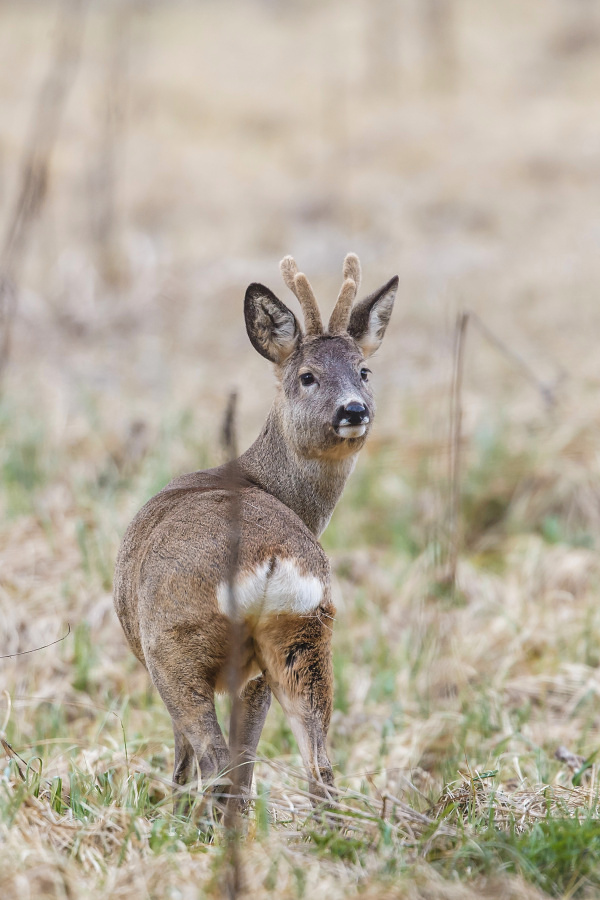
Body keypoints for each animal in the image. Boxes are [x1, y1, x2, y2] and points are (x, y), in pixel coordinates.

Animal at [114, 253, 398, 816]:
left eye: (363, 371)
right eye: (308, 376)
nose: (354, 410)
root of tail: (269, 559)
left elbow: (186, 754)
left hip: (176, 646)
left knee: (213, 757)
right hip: (303, 637)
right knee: (316, 764)